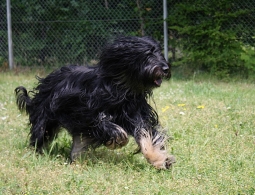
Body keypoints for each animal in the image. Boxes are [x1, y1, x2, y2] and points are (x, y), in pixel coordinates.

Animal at [15, 36, 175, 169]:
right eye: (148, 54)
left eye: (159, 52)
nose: (166, 68)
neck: (123, 88)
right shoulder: (83, 113)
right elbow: (103, 123)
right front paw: (119, 138)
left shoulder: (136, 114)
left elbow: (146, 136)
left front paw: (159, 160)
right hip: (45, 117)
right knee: (40, 135)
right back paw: (37, 154)